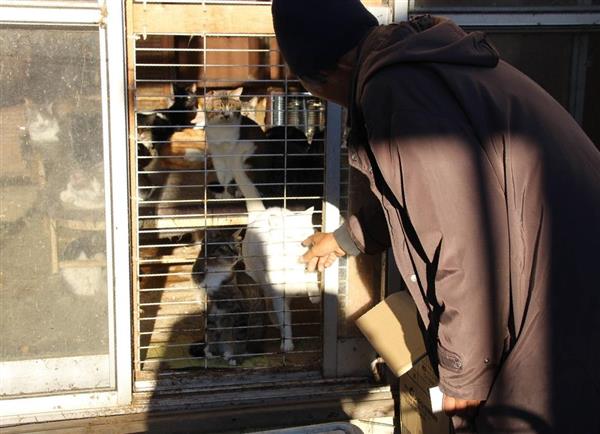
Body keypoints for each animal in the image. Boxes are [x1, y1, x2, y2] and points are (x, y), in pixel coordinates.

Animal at [190, 229, 264, 364]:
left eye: (237, 246)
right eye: (224, 247)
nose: (237, 254)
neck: (215, 271)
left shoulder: (240, 310)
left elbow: (240, 338)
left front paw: (237, 357)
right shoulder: (207, 310)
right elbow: (212, 333)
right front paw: (212, 352)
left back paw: (231, 354)